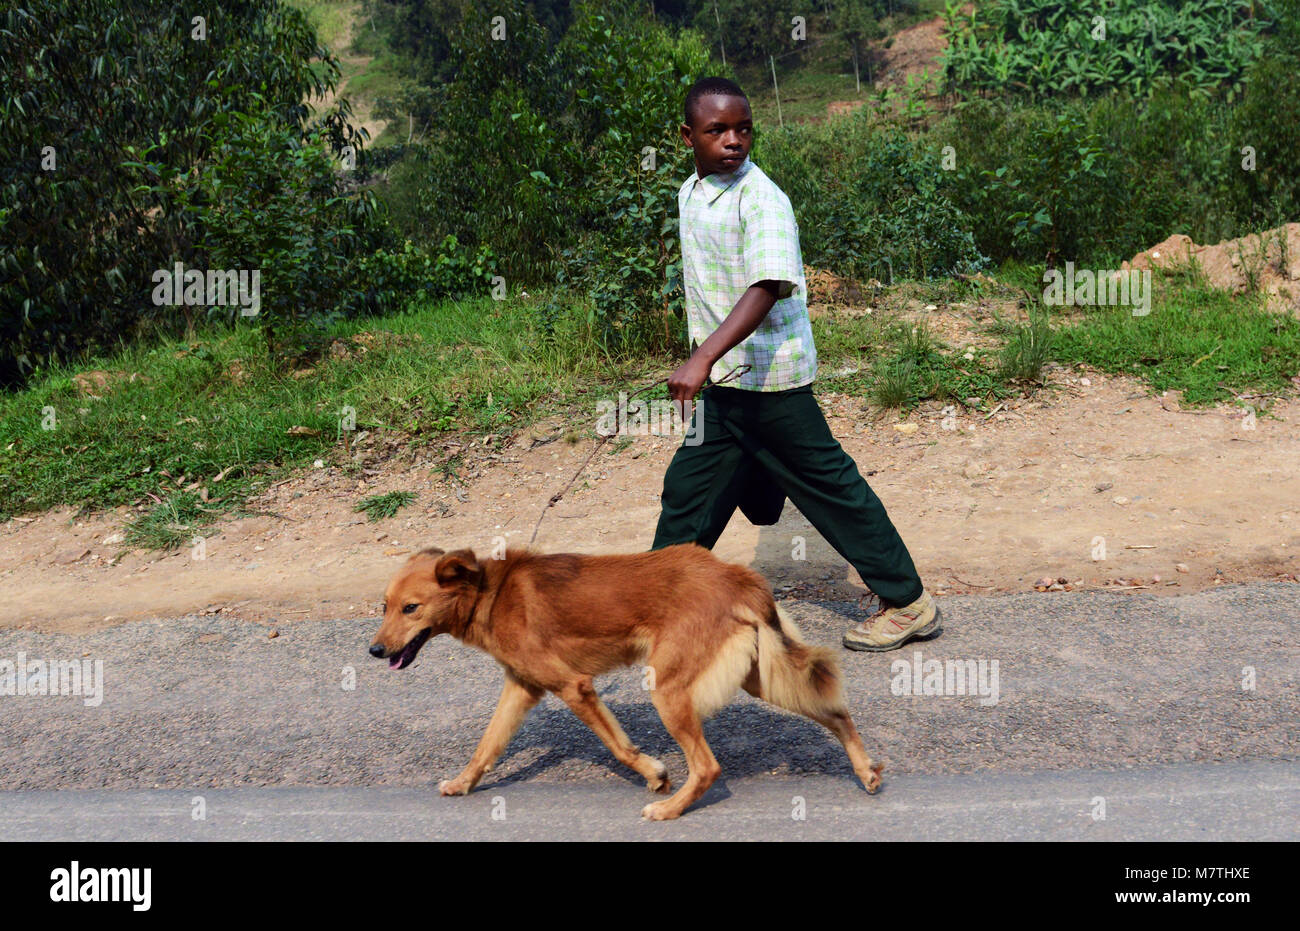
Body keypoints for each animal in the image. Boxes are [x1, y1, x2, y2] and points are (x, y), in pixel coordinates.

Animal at [371, 540, 889, 816]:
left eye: (411, 608)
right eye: (384, 606)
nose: (374, 651)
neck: (489, 594)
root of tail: (737, 576)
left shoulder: (574, 686)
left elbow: (619, 746)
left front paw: (654, 774)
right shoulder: (522, 687)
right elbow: (486, 747)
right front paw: (462, 784)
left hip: (668, 688)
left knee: (707, 767)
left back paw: (670, 809)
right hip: (758, 676)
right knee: (836, 713)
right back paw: (864, 770)